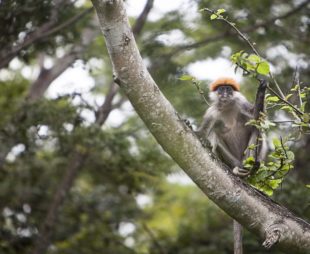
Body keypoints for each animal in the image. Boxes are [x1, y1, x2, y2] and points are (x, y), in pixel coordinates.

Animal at [197, 77, 268, 254]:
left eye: (228, 90)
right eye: (221, 89)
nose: (225, 93)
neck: (227, 106)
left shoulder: (240, 102)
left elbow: (257, 117)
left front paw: (261, 89)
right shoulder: (212, 111)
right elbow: (202, 132)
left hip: (248, 155)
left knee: (257, 129)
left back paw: (253, 166)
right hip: (233, 159)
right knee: (215, 134)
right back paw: (237, 170)